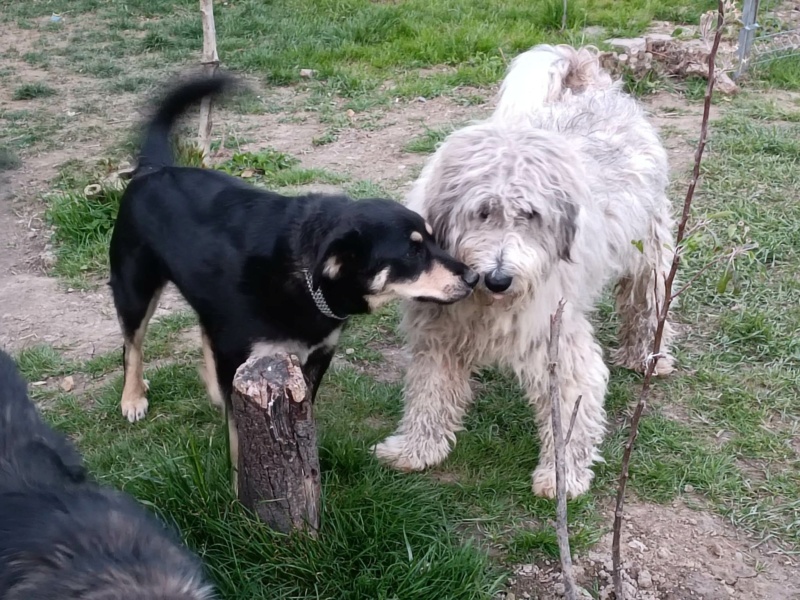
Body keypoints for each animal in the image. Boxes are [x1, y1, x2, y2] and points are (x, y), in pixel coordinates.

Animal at [109, 74, 478, 478]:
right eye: (413, 251)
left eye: (434, 239)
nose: (474, 277)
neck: (304, 279)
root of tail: (155, 168)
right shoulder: (244, 360)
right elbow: (239, 439)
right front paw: (241, 482)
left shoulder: (316, 356)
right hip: (134, 288)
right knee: (132, 346)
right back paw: (133, 397)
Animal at [372, 44, 672, 500]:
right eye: (482, 212)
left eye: (530, 214)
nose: (498, 279)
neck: (486, 303)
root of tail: (591, 81)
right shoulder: (438, 335)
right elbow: (429, 393)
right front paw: (416, 449)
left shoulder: (558, 342)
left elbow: (571, 413)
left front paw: (561, 477)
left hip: (647, 254)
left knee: (648, 303)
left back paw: (646, 355)